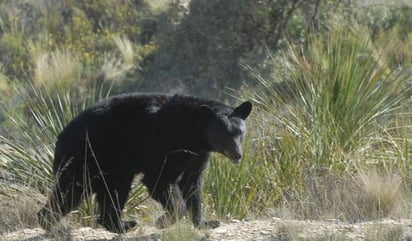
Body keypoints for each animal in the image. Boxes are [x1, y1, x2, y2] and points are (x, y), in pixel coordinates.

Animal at [37, 92, 251, 233]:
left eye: (240, 133)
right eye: (223, 134)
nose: (237, 154)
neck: (194, 132)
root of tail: (60, 137)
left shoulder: (198, 155)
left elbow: (192, 184)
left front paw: (205, 222)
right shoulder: (167, 145)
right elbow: (160, 178)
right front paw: (164, 220)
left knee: (92, 193)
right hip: (90, 157)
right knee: (76, 191)